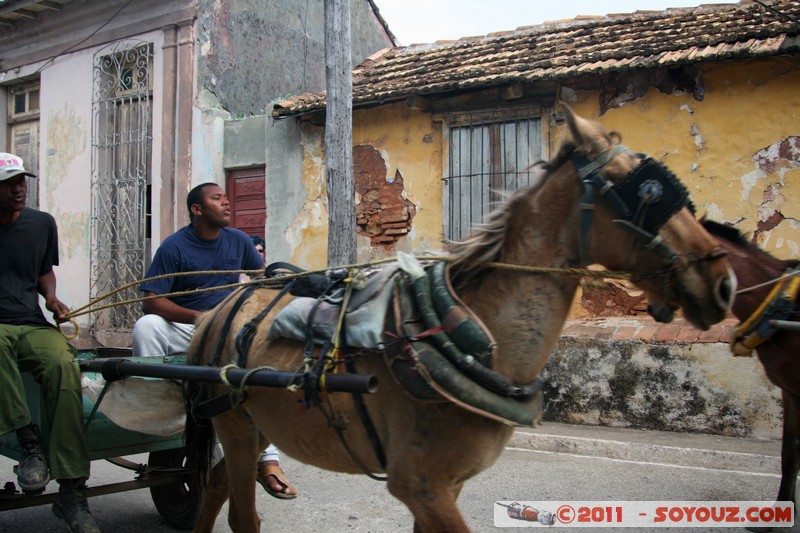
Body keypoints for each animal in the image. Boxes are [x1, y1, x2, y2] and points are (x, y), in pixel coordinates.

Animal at [184, 106, 736, 528]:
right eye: (645, 192)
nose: (723, 282)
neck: (477, 340)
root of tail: (218, 309)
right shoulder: (421, 487)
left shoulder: (441, 489)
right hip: (235, 425)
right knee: (241, 514)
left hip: (257, 424)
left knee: (214, 486)